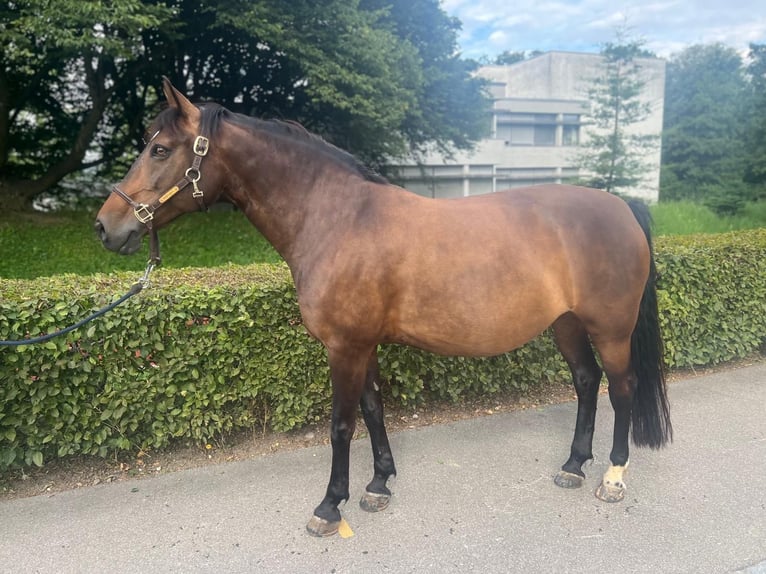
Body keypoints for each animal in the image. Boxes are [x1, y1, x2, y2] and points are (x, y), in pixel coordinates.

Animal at [94, 80, 672, 540]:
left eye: (160, 149)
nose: (105, 226)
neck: (338, 218)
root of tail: (621, 205)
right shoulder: (362, 344)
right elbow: (373, 410)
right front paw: (377, 484)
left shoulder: (345, 347)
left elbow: (340, 424)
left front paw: (330, 506)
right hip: (566, 324)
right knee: (585, 381)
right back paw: (573, 465)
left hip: (610, 328)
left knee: (621, 388)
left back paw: (612, 477)